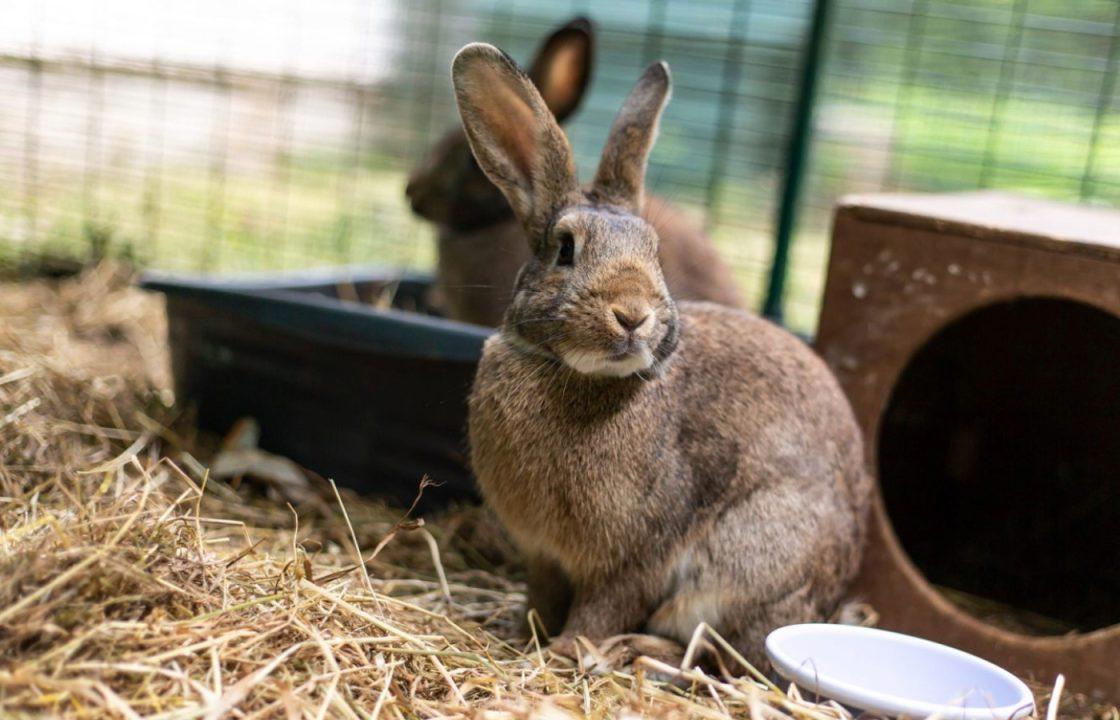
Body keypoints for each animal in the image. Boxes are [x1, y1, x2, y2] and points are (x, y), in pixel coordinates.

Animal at [450, 46, 869, 671]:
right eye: (564, 249)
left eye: (654, 252)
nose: (633, 314)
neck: (576, 374)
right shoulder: (542, 554)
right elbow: (542, 597)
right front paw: (521, 635)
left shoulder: (636, 558)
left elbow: (603, 607)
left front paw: (568, 651)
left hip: (746, 566)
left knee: (721, 656)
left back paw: (636, 649)